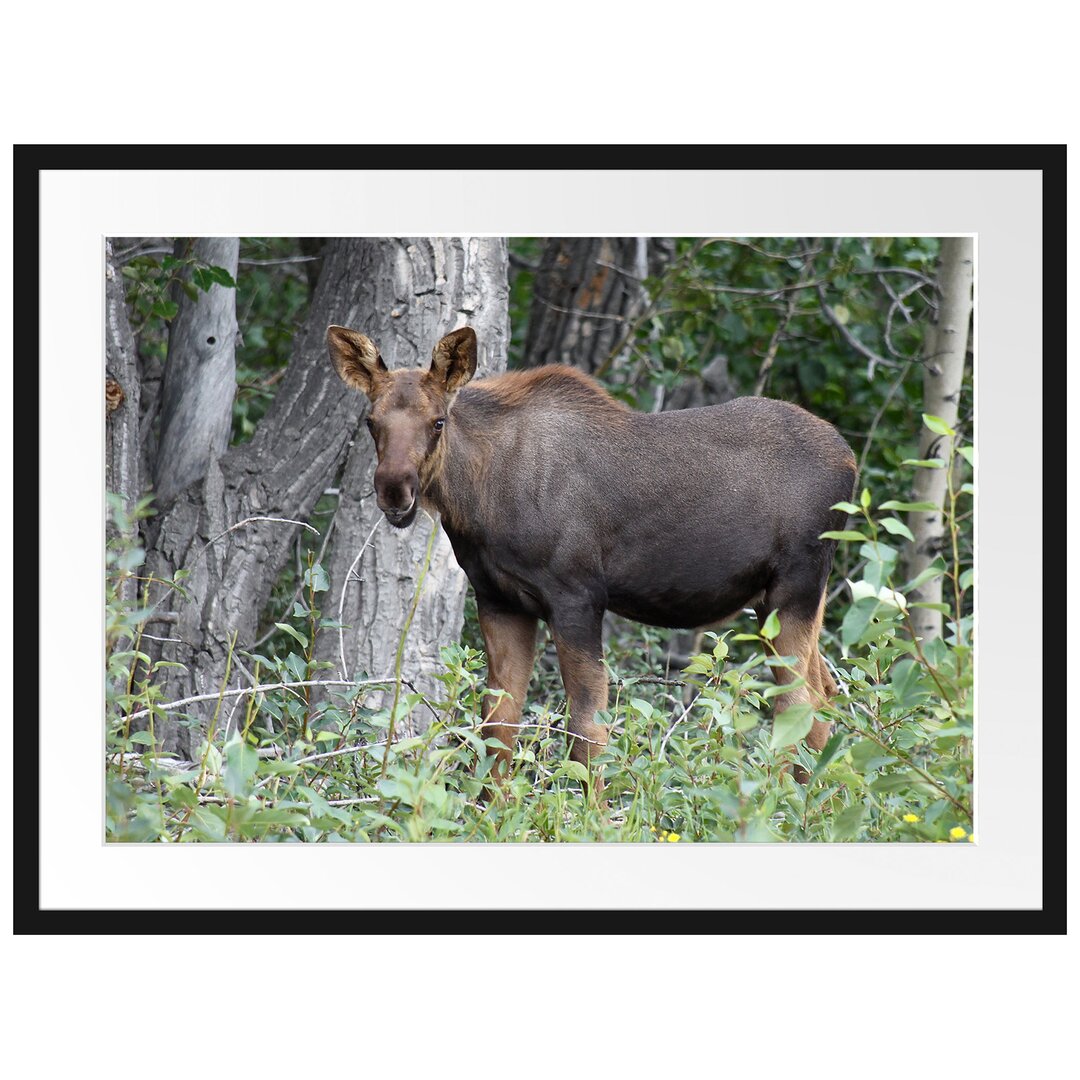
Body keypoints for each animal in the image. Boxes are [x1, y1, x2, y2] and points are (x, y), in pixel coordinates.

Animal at [324, 324, 855, 790]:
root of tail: (850, 461)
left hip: (796, 587)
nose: (395, 491)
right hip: (778, 602)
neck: (478, 502)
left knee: (799, 701)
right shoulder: (499, 600)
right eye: (371, 422)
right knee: (825, 693)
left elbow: (586, 729)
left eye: (438, 421)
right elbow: (497, 725)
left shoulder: (576, 597)